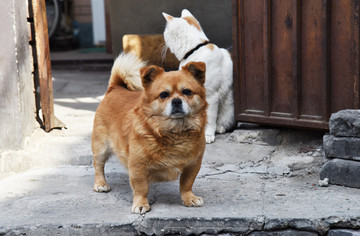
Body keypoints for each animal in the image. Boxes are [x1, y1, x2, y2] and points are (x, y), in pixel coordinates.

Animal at [91, 53, 207, 214]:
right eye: (163, 95)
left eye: (187, 92)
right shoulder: (137, 166)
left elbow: (186, 184)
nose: (176, 101)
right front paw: (140, 203)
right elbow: (141, 188)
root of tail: (114, 87)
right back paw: (100, 184)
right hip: (101, 148)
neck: (175, 132)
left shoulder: (193, 165)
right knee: (98, 165)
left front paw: (189, 198)